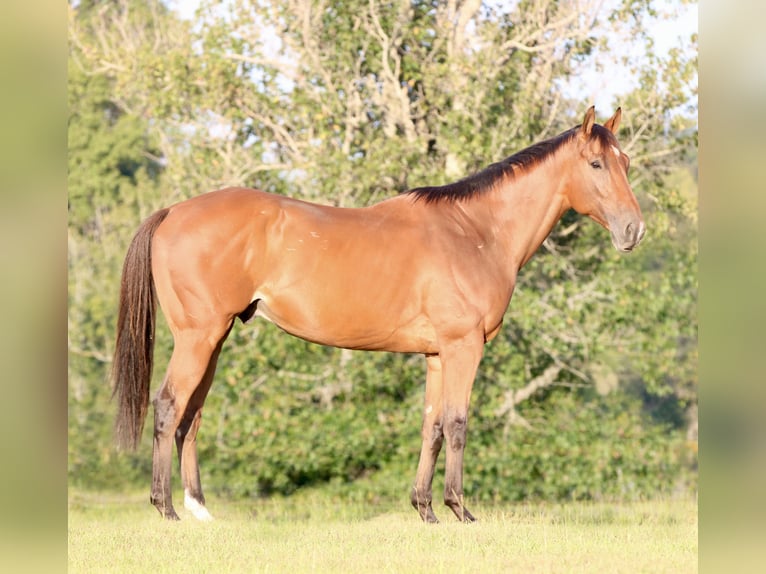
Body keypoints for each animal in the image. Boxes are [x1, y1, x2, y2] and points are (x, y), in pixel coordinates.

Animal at [112, 106, 645, 523]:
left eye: (626, 162)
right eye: (596, 163)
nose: (633, 230)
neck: (476, 231)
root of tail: (173, 212)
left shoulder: (437, 354)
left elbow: (432, 426)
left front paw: (425, 509)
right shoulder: (463, 347)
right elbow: (457, 423)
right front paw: (460, 509)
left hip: (214, 339)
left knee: (191, 415)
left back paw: (199, 508)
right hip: (198, 337)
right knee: (168, 407)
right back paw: (166, 508)